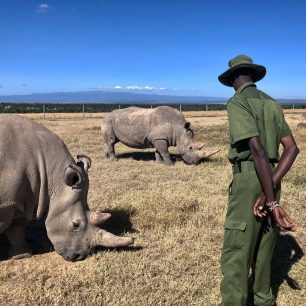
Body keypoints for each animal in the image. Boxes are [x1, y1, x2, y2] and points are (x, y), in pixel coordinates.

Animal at [0, 115, 134, 260]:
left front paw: (22, 255)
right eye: (76, 225)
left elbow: (17, 229)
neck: (51, 176)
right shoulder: (7, 203)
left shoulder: (18, 200)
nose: (77, 256)